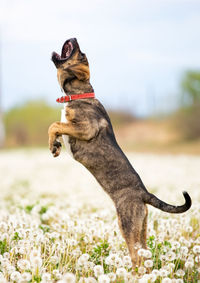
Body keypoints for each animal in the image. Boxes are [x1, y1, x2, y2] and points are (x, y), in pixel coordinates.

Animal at [47, 37, 191, 270]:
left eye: (82, 55)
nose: (75, 38)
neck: (79, 93)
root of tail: (144, 193)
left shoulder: (85, 128)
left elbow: (55, 125)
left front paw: (54, 144)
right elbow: (56, 127)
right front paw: (55, 146)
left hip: (127, 222)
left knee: (137, 256)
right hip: (141, 225)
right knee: (144, 254)